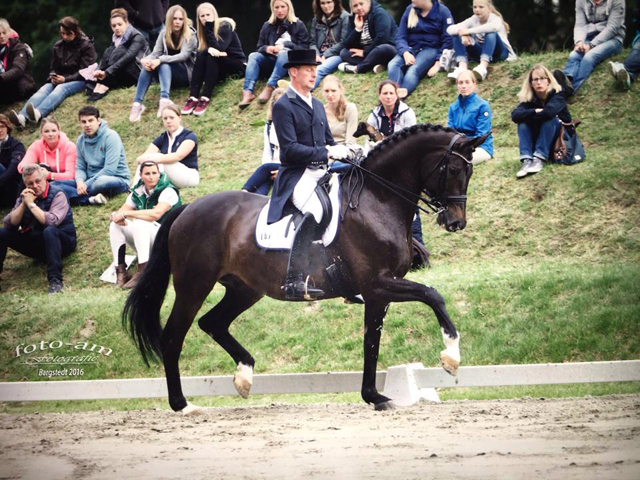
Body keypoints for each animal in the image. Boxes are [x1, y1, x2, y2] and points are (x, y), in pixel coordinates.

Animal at [122, 124, 488, 412]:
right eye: (453, 170)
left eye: (470, 172)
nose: (456, 223)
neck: (377, 199)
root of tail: (186, 209)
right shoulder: (378, 283)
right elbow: (433, 295)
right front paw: (451, 357)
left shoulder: (377, 293)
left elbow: (371, 343)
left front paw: (374, 396)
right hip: (194, 285)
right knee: (173, 337)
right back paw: (182, 405)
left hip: (245, 289)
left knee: (213, 322)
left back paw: (244, 375)